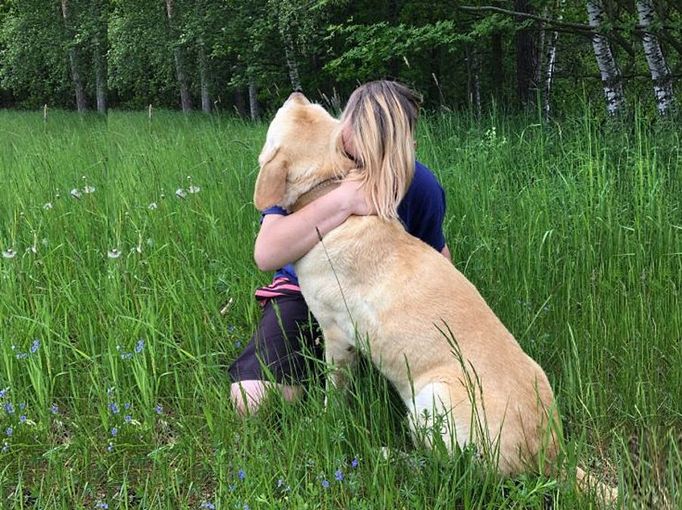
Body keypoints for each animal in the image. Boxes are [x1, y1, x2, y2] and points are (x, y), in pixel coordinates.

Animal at [252, 92, 612, 502]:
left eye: (295, 111)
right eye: (315, 109)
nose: (295, 93)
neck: (326, 195)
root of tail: (551, 454)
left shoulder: (338, 337)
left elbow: (334, 393)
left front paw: (327, 419)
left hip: (432, 397)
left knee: (449, 471)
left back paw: (387, 455)